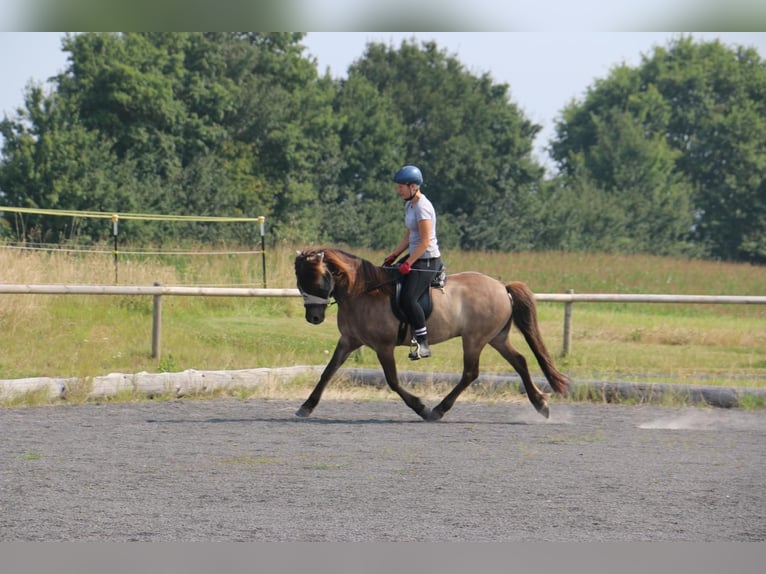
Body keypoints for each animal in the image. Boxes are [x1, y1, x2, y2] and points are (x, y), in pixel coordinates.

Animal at [294, 248, 569, 421]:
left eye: (317, 280)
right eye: (300, 281)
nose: (314, 318)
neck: (362, 291)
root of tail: (502, 287)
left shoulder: (383, 346)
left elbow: (392, 381)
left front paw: (421, 407)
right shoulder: (349, 340)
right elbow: (328, 372)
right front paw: (306, 407)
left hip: (475, 339)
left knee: (471, 373)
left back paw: (438, 410)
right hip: (495, 338)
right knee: (520, 362)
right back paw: (540, 404)